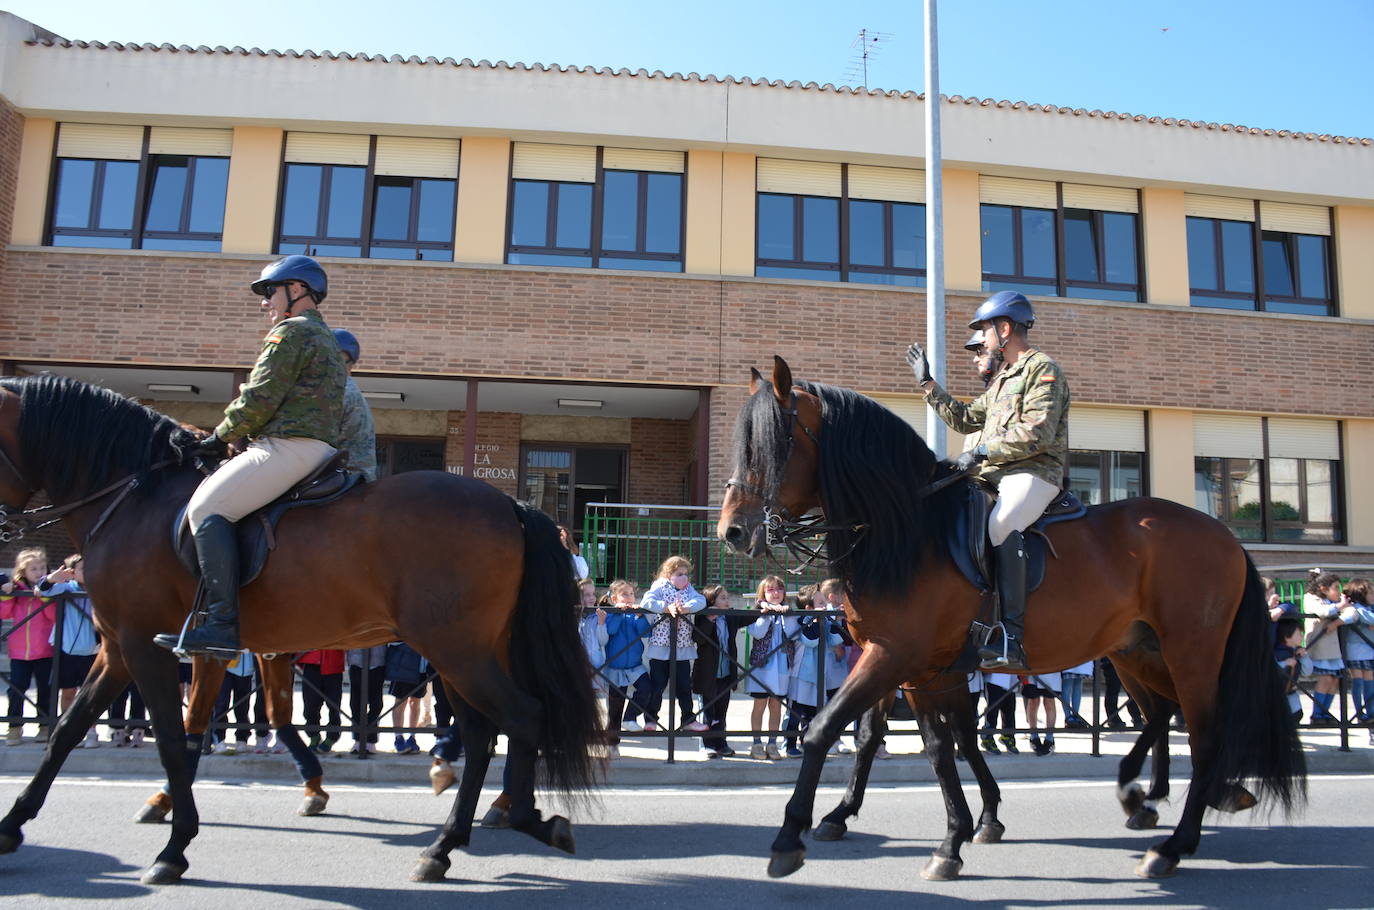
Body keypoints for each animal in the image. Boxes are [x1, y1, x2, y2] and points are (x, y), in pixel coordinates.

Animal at [0, 373, 601, 885]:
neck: (134, 497)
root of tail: (509, 502)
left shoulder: (145, 647)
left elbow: (173, 738)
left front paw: (174, 848)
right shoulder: (119, 648)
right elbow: (68, 730)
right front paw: (13, 825)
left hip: (457, 650)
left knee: (521, 717)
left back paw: (524, 819)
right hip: (463, 653)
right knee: (481, 736)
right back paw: (445, 845)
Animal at [714, 357, 1302, 885]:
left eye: (775, 446)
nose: (732, 532)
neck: (911, 528)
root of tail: (1224, 535)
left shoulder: (896, 657)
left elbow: (825, 730)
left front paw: (791, 837)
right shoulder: (919, 667)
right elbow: (929, 745)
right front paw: (953, 836)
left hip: (1192, 655)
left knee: (1204, 735)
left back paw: (1174, 844)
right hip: (1137, 652)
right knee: (1160, 713)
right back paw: (1149, 797)